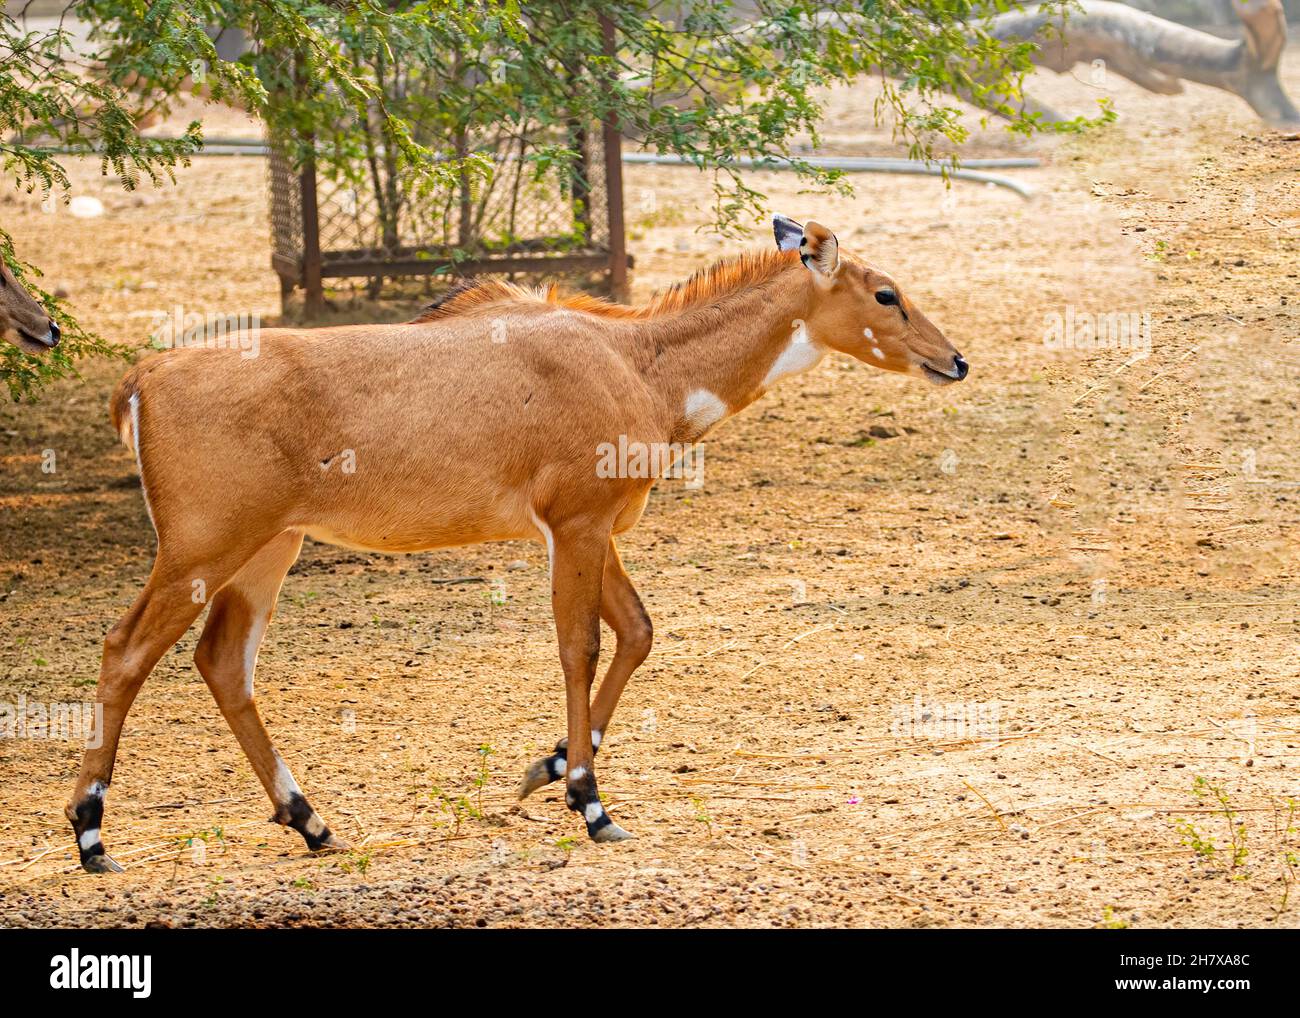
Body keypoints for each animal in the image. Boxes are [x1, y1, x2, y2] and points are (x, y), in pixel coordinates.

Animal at [71, 214, 967, 868]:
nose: (954, 360)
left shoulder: (599, 528)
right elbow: (582, 646)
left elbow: (637, 631)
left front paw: (550, 767)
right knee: (124, 648)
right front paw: (590, 800)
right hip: (201, 548)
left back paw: (312, 821)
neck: (640, 362)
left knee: (223, 661)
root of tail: (141, 380)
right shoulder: (573, 523)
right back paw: (90, 832)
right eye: (886, 294)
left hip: (269, 549)